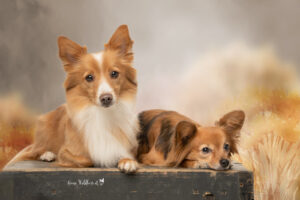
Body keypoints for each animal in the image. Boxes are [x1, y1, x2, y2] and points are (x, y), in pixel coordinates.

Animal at [4, 24, 138, 173]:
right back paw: (47, 154)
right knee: (36, 150)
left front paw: (128, 162)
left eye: (114, 73)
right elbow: (87, 159)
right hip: (44, 128)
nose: (106, 98)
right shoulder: (65, 151)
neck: (102, 114)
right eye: (89, 77)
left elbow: (124, 155)